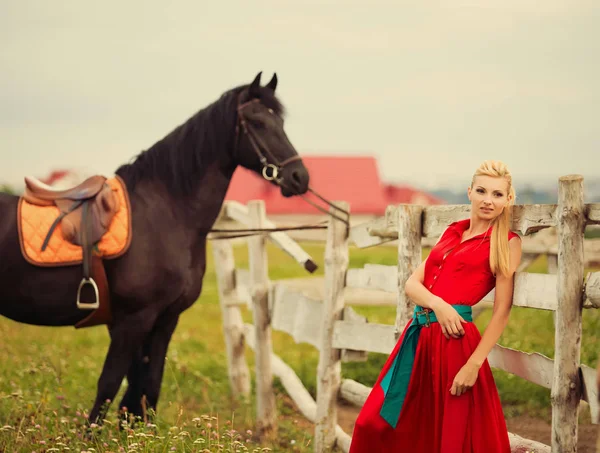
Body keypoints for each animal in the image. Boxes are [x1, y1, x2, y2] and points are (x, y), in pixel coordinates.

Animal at [0, 73, 310, 424]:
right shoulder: (134, 319)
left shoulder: (164, 319)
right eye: (257, 122)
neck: (166, 213)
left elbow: (146, 388)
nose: (299, 177)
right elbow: (110, 385)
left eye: (280, 122)